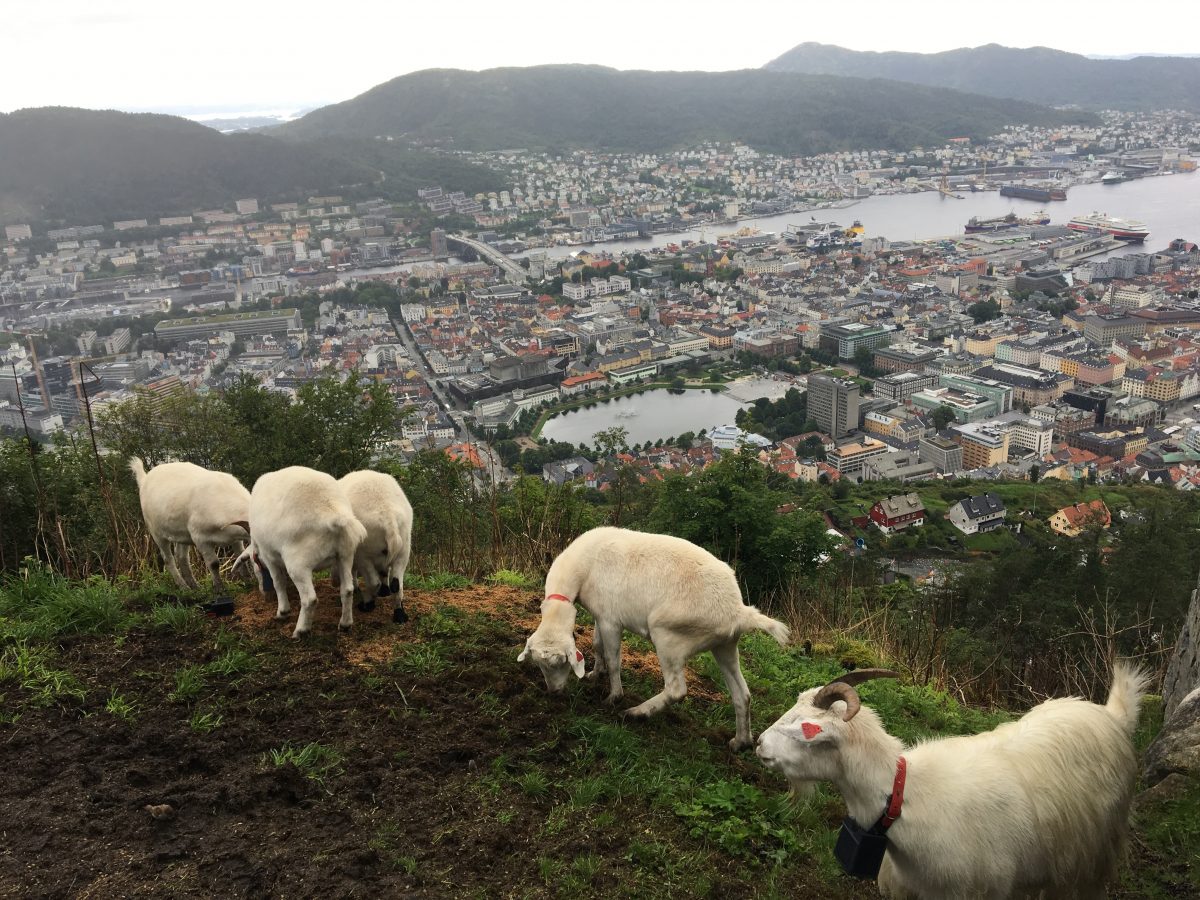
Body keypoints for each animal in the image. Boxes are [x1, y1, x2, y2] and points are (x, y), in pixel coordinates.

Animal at [130, 460, 249, 595]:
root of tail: (144, 478)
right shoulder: (200, 538)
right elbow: (213, 564)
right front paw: (220, 589)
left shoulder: (235, 537)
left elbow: (240, 554)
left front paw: (248, 581)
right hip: (156, 533)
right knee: (168, 559)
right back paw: (184, 587)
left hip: (182, 535)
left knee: (181, 557)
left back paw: (194, 587)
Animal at [235, 468, 362, 638]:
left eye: (254, 562)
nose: (264, 594)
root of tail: (332, 510)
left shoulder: (269, 557)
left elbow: (278, 582)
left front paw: (282, 612)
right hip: (345, 554)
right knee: (347, 590)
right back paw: (345, 624)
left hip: (298, 562)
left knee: (310, 599)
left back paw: (301, 630)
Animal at [338, 468, 412, 624]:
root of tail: (388, 517)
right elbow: (384, 572)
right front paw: (384, 591)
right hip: (404, 549)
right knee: (397, 584)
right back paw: (399, 614)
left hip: (363, 554)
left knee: (373, 582)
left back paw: (367, 605)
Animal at [516, 525, 787, 748]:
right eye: (539, 665)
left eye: (560, 663)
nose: (554, 693)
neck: (583, 568)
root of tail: (738, 612)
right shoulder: (600, 615)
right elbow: (596, 645)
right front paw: (594, 674)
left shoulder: (611, 620)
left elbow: (614, 659)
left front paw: (613, 696)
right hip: (725, 645)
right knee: (743, 695)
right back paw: (740, 742)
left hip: (669, 637)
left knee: (677, 690)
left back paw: (637, 712)